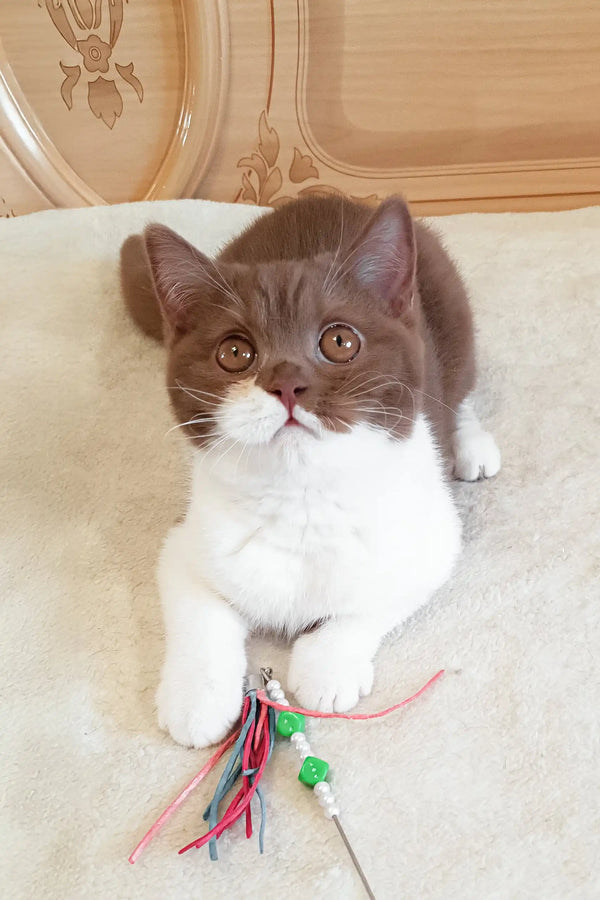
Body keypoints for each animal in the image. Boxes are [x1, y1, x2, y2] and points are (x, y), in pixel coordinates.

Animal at [122, 199, 502, 752]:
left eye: (340, 341)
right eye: (234, 353)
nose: (287, 384)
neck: (301, 497)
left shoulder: (431, 536)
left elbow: (377, 597)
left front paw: (327, 667)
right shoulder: (192, 539)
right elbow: (198, 610)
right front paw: (196, 700)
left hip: (449, 305)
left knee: (460, 388)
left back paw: (471, 445)